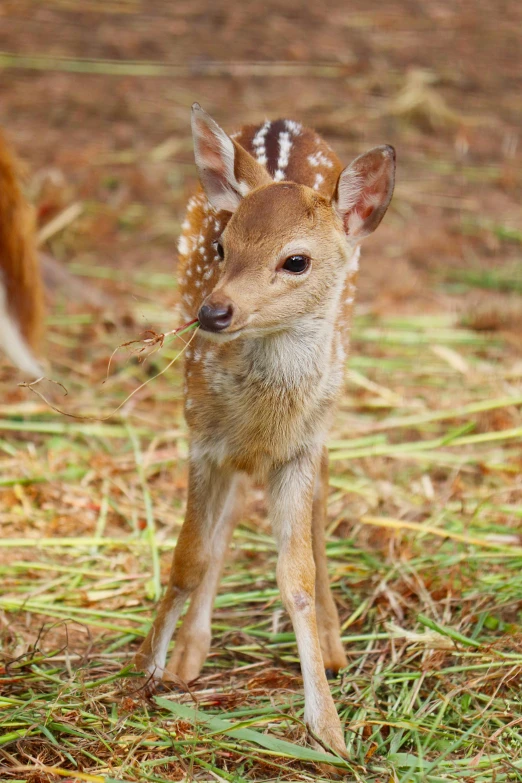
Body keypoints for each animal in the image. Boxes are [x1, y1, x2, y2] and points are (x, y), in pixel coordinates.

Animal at [135, 104, 394, 752]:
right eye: (222, 246)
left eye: (295, 260)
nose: (213, 312)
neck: (262, 412)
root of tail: (285, 120)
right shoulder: (202, 437)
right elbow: (189, 558)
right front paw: (144, 671)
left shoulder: (299, 447)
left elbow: (295, 575)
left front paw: (329, 731)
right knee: (228, 517)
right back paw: (190, 655)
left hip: (328, 407)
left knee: (320, 499)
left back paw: (334, 648)